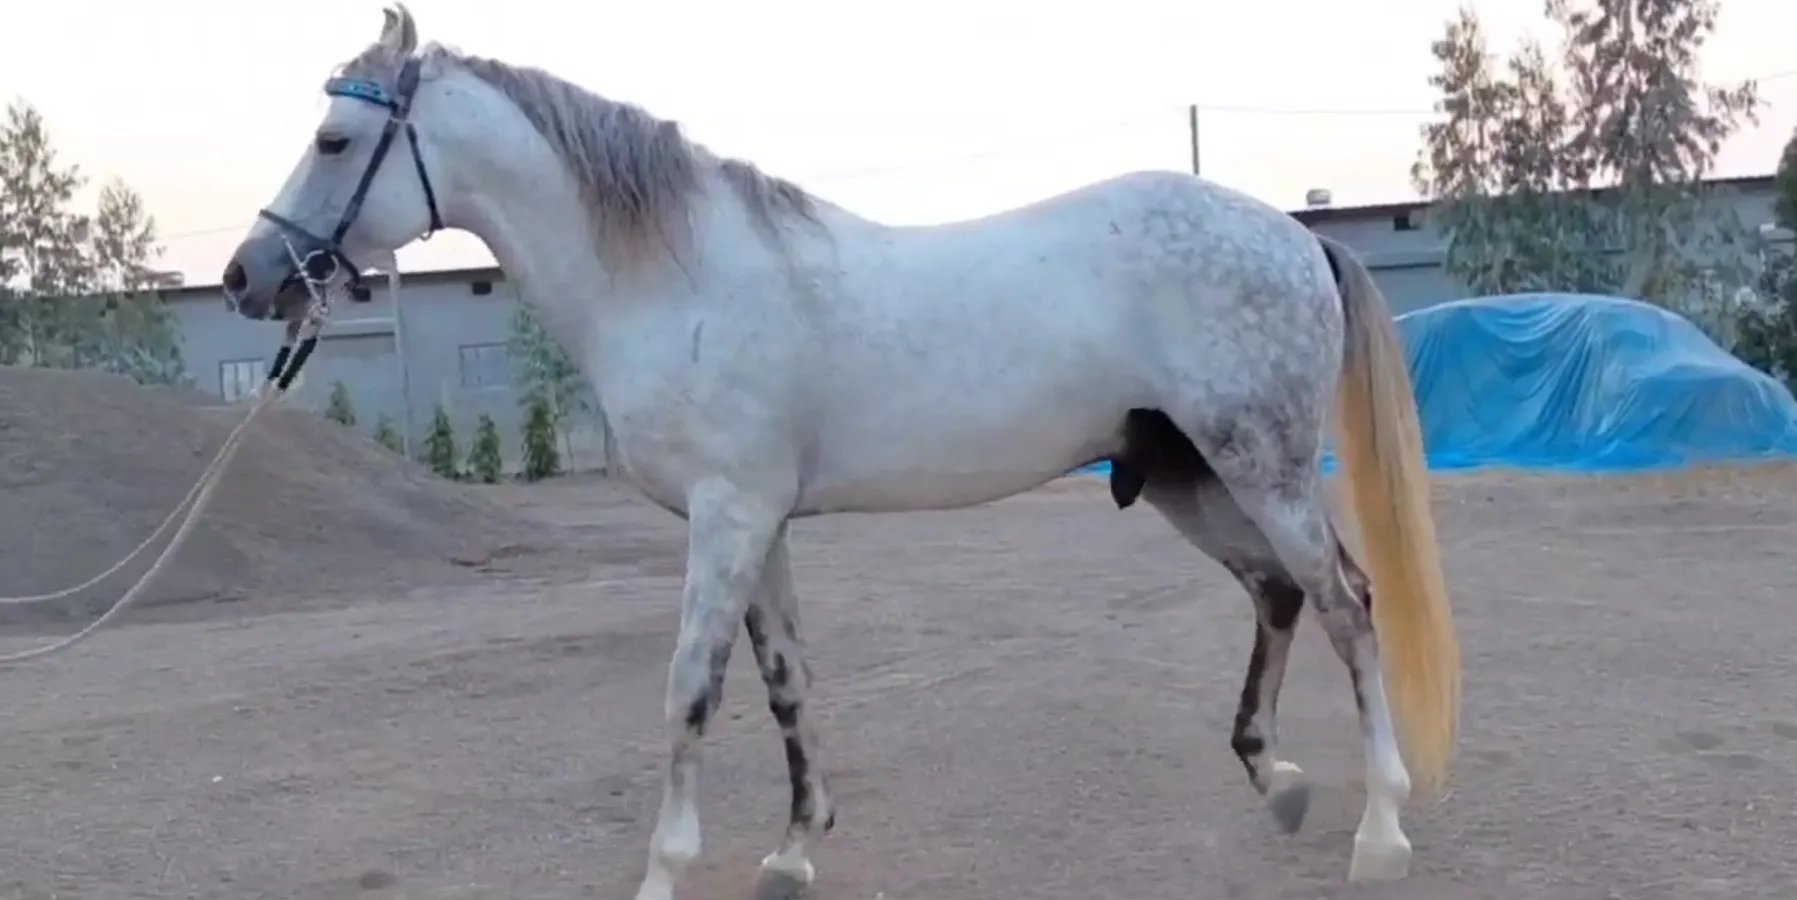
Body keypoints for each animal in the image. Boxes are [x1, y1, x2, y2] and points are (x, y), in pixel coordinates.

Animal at [219, 6, 1460, 897]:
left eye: (334, 139)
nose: (247, 277)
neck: (679, 278)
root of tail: (1292, 233)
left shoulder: (725, 519)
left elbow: (688, 691)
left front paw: (669, 871)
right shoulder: (759, 524)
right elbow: (783, 680)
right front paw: (793, 847)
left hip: (1263, 468)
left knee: (1347, 605)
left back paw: (1382, 829)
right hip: (1188, 479)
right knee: (1278, 597)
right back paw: (1277, 778)